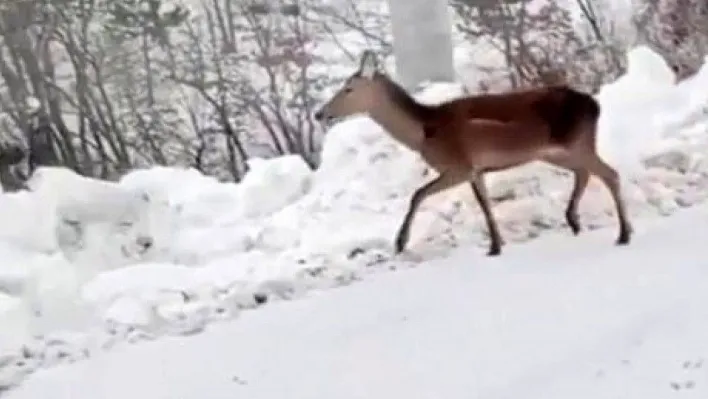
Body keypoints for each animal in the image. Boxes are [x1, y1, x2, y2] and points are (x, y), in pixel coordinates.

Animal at [312, 50, 632, 256]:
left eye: (349, 88)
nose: (319, 113)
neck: (423, 132)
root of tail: (594, 105)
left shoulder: (457, 166)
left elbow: (417, 194)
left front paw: (400, 242)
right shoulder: (475, 170)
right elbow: (484, 203)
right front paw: (496, 245)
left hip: (577, 142)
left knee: (610, 173)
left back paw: (623, 234)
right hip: (557, 152)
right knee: (587, 173)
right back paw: (575, 221)